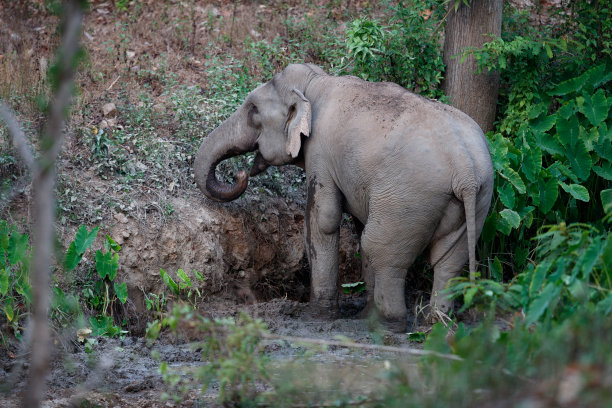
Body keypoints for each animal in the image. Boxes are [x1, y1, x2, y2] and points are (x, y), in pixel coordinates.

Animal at [194, 63, 494, 332]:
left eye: (253, 110)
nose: (241, 173)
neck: (315, 82)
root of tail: (464, 167)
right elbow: (358, 224)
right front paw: (358, 314)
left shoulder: (320, 154)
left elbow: (323, 221)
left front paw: (316, 318)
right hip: (478, 197)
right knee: (447, 261)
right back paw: (436, 324)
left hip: (410, 197)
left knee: (381, 249)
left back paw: (387, 325)